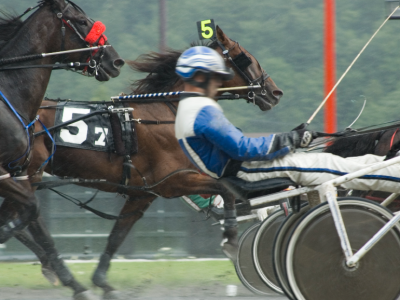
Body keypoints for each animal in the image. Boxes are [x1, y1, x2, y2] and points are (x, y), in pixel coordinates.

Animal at [0, 1, 123, 298]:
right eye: (81, 21)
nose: (114, 60)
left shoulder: (20, 173)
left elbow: (32, 217)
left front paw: (73, 283)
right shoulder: (5, 174)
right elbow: (31, 213)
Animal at [22, 25, 284, 298]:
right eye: (247, 58)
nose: (275, 92)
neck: (169, 113)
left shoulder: (143, 193)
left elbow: (118, 235)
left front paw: (102, 282)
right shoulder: (173, 182)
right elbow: (225, 189)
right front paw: (231, 241)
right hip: (30, 174)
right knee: (31, 220)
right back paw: (59, 271)